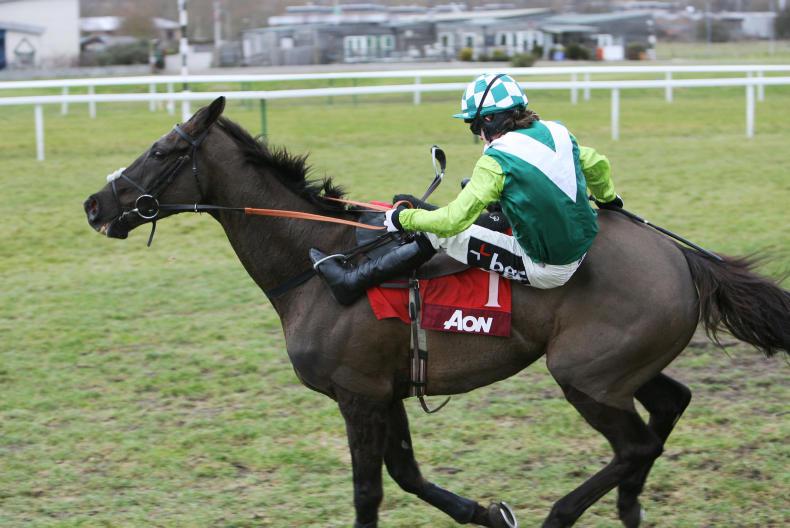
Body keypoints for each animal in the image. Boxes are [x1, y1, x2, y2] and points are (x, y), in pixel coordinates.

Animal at [83, 97, 790, 528]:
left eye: (161, 152)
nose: (94, 205)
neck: (319, 259)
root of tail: (685, 258)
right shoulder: (383, 390)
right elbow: (407, 475)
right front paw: (488, 512)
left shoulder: (358, 395)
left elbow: (370, 489)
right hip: (623, 369)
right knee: (668, 411)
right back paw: (629, 507)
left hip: (586, 375)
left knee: (636, 442)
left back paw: (564, 513)